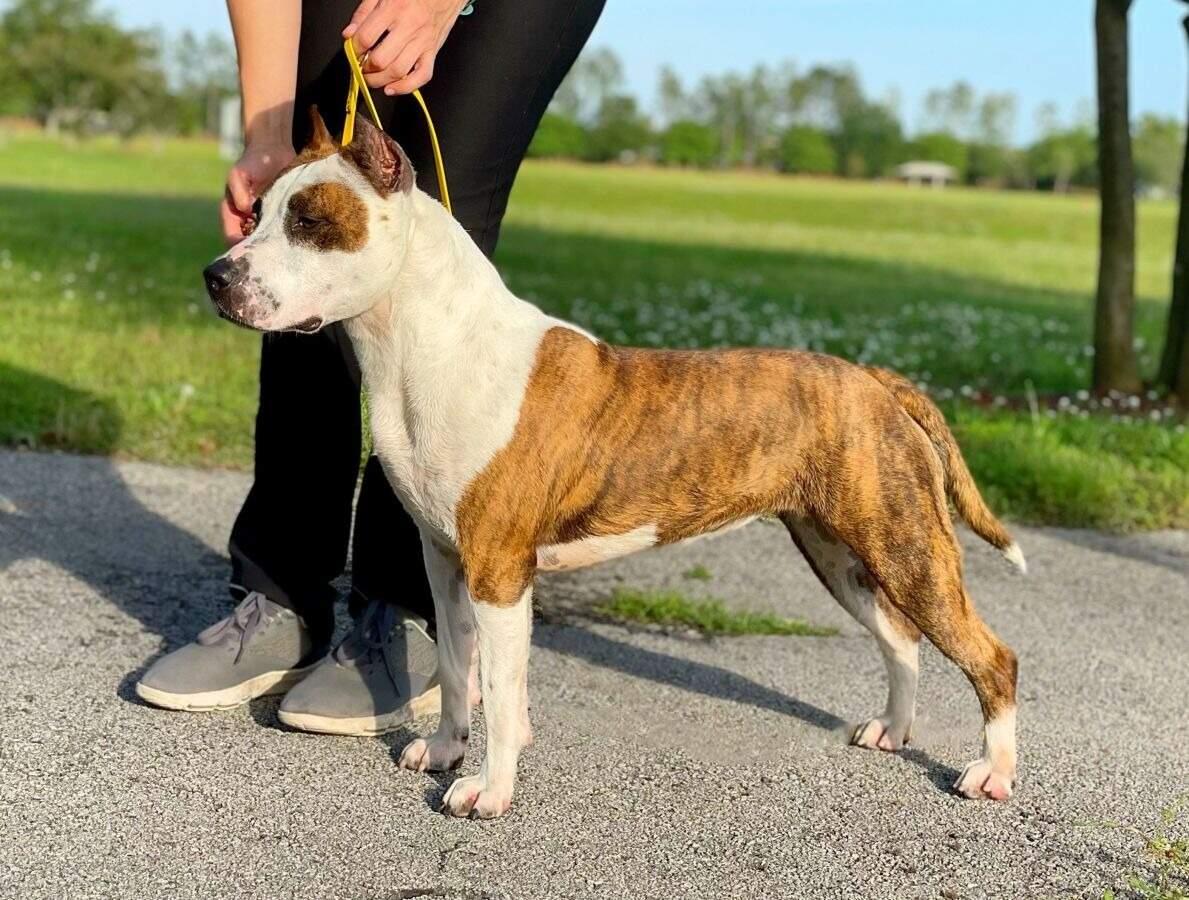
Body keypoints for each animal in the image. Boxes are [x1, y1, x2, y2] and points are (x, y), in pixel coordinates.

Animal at [203, 108, 1024, 819]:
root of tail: (874, 380)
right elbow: (459, 669)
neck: (424, 344)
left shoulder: (499, 571)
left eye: (310, 220)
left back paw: (990, 773)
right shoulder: (444, 561)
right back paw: (892, 730)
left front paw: (488, 791)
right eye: (256, 213)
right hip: (842, 552)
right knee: (901, 639)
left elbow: (500, 687)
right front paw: (442, 753)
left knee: (990, 656)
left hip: (905, 547)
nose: (216, 275)